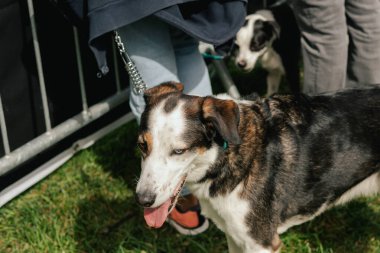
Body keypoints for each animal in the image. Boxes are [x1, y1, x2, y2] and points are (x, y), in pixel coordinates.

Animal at [135, 82, 380, 252]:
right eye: (142, 145)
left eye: (179, 151)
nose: (142, 200)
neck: (225, 156)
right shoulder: (234, 236)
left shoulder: (261, 243)